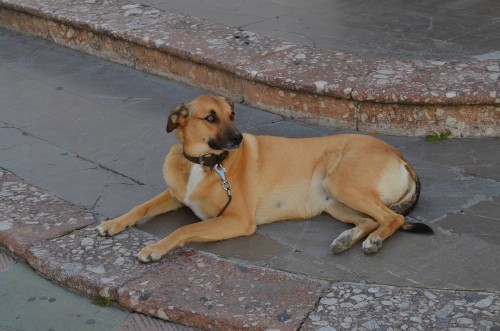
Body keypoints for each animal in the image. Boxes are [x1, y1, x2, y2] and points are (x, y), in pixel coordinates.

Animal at [95, 94, 432, 264]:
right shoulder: (176, 194)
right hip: (334, 201)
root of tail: (401, 157)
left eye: (232, 114)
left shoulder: (238, 220)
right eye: (210, 117)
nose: (239, 138)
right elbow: (141, 207)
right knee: (371, 219)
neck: (206, 163)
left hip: (342, 184)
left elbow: (186, 228)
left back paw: (374, 241)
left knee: (392, 219)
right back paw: (346, 239)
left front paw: (156, 248)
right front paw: (113, 223)